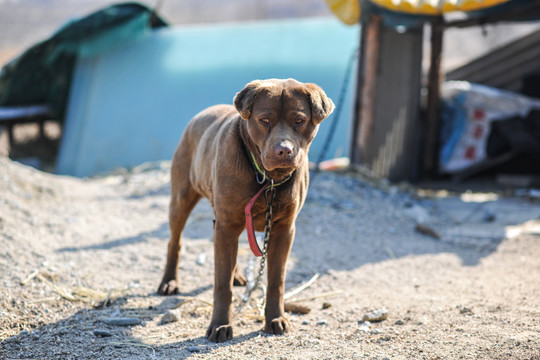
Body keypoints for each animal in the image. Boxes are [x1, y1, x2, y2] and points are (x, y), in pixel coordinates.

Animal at [157, 77, 334, 342]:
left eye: (299, 120)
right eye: (265, 120)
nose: (284, 150)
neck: (267, 179)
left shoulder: (283, 229)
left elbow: (276, 281)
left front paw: (275, 319)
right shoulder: (227, 223)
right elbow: (221, 284)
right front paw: (220, 324)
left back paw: (238, 275)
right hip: (182, 198)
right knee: (175, 241)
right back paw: (169, 282)